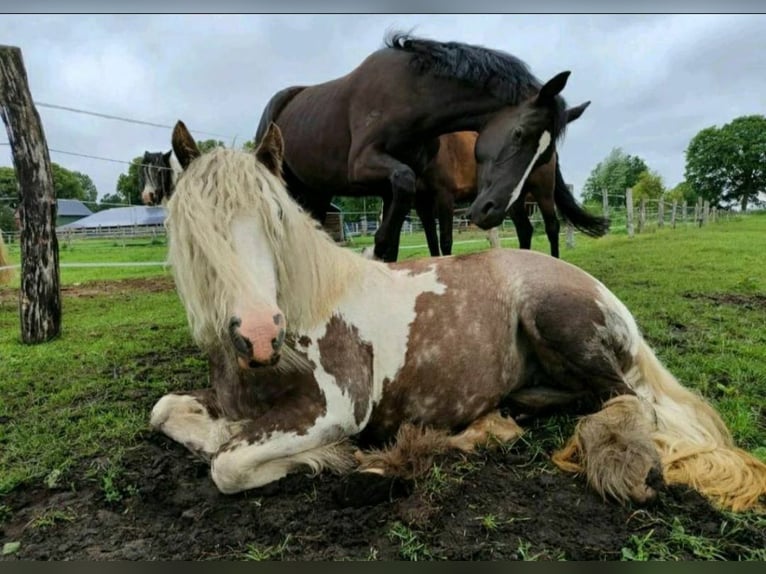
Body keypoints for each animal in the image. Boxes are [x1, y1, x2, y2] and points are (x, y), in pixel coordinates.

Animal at [154, 120, 766, 512]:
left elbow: (227, 464)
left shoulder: (337, 407)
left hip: (556, 319)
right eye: (195, 230)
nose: (260, 335)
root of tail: (604, 293)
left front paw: (323, 458)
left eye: (277, 219)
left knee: (627, 399)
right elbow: (166, 412)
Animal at [255, 32, 596, 262]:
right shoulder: (369, 167)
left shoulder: (402, 189)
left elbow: (403, 241)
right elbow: (425, 238)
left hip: (317, 192)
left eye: (543, 155)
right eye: (518, 134)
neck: (409, 96)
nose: (489, 210)